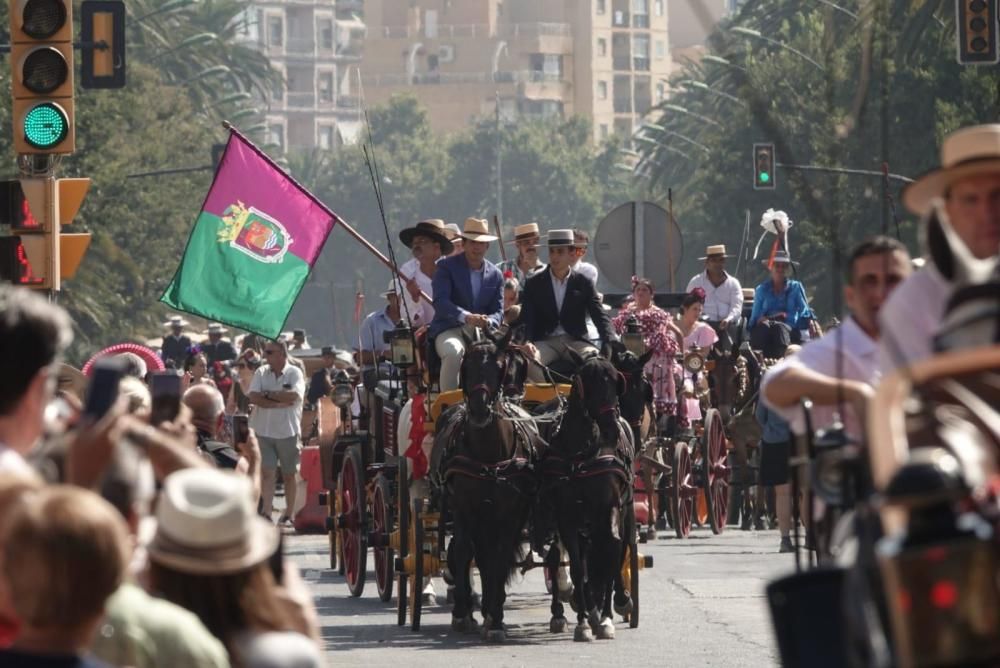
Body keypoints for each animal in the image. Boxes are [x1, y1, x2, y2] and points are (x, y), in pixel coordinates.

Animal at [440, 328, 540, 640]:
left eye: (499, 367)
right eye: (466, 366)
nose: (480, 409)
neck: (489, 455)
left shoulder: (509, 513)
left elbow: (499, 556)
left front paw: (495, 617)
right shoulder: (463, 508)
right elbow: (462, 551)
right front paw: (463, 613)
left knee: (490, 556)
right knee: (472, 553)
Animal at [544, 350, 628, 640]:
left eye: (616, 380)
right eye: (587, 383)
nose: (612, 429)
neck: (582, 453)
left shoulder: (610, 509)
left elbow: (611, 552)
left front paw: (605, 617)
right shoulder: (566, 515)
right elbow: (579, 569)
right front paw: (583, 621)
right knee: (560, 558)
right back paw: (562, 612)